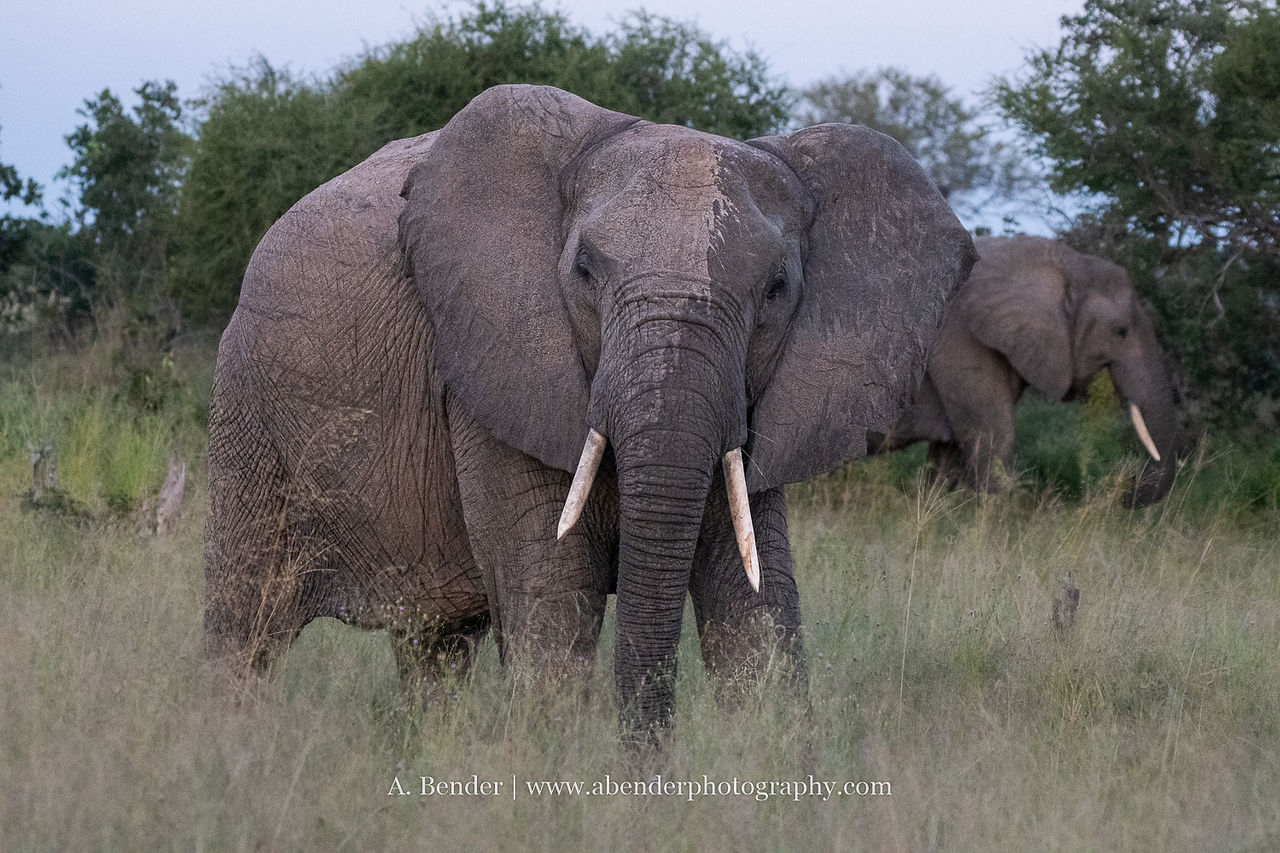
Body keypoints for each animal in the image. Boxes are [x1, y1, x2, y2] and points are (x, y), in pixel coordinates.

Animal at [203, 84, 976, 744]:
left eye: (777, 288)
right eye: (583, 271)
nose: (650, 770)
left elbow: (755, 605)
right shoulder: (492, 365)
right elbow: (553, 601)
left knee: (434, 647)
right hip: (249, 414)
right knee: (247, 623)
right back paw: (222, 751)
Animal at [868, 234, 1184, 507]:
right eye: (1120, 331)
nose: (1123, 490)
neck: (1065, 263)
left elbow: (948, 458)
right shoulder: (961, 344)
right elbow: (992, 446)